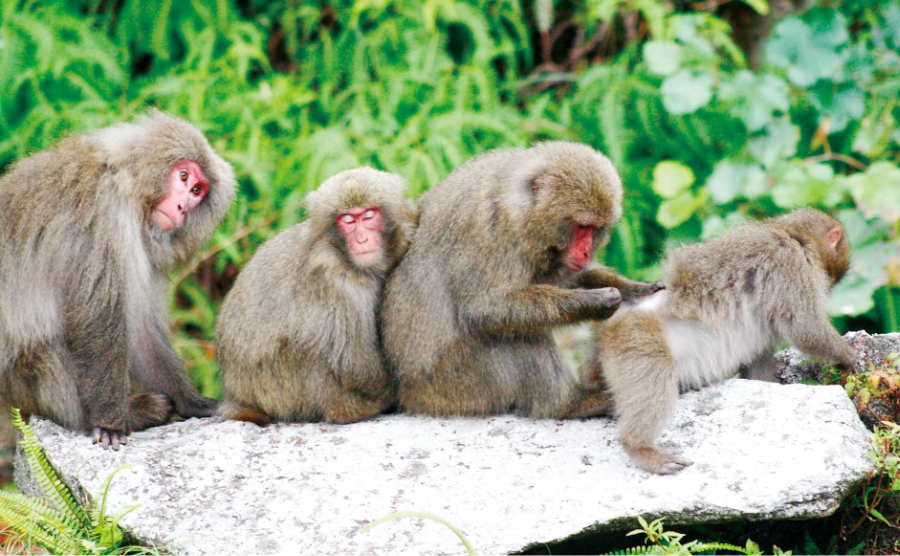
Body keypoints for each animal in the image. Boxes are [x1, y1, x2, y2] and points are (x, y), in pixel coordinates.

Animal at [0, 111, 236, 450]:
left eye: (196, 191)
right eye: (183, 177)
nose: (181, 207)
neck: (127, 187)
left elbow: (138, 329)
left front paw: (192, 401)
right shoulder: (103, 216)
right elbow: (97, 317)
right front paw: (109, 422)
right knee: (44, 351)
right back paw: (130, 413)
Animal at [216, 167, 416, 424]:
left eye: (369, 215)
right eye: (348, 221)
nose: (361, 239)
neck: (347, 261)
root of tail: (238, 395)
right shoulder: (337, 285)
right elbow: (356, 365)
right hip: (279, 389)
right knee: (310, 349)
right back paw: (349, 411)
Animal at [380, 141, 660, 420]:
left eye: (596, 229)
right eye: (583, 226)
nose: (586, 252)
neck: (523, 210)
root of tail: (409, 395)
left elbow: (571, 279)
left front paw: (637, 290)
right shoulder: (496, 231)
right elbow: (485, 309)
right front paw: (593, 302)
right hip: (458, 384)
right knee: (519, 333)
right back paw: (568, 405)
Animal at [588, 208, 856, 474]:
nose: (829, 284)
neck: (791, 235)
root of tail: (614, 322)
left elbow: (759, 359)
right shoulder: (789, 262)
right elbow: (805, 328)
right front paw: (850, 355)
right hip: (637, 337)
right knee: (654, 375)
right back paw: (639, 447)